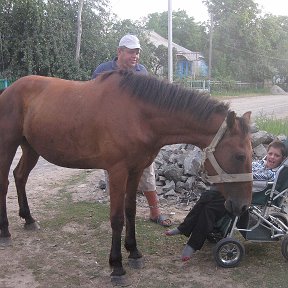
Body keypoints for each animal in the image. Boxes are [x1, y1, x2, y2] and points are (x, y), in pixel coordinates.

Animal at [0, 70, 252, 284]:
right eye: (239, 156)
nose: (243, 206)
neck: (138, 115)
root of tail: (10, 88)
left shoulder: (137, 169)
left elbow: (130, 210)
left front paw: (134, 252)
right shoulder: (117, 171)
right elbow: (117, 218)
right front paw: (117, 266)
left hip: (31, 148)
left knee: (20, 176)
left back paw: (29, 219)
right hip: (9, 145)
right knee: (5, 183)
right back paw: (5, 232)